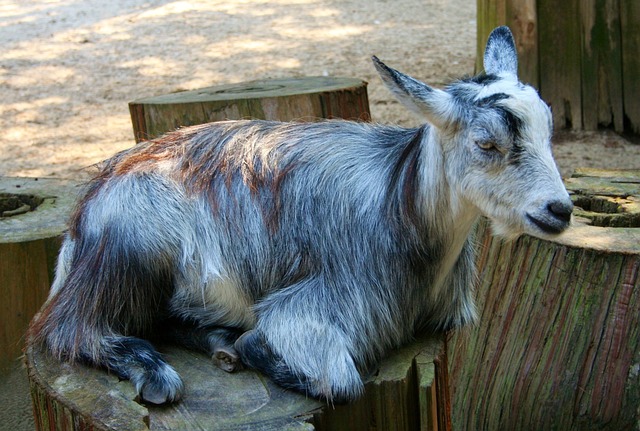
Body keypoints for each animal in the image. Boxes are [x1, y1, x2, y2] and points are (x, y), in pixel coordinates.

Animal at [28, 27, 576, 404]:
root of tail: (84, 212)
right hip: (133, 242)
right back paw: (159, 373)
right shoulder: (314, 305)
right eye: (486, 143)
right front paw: (252, 346)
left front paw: (236, 344)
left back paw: (217, 340)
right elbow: (341, 380)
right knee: (64, 328)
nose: (559, 210)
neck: (400, 205)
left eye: (549, 130)